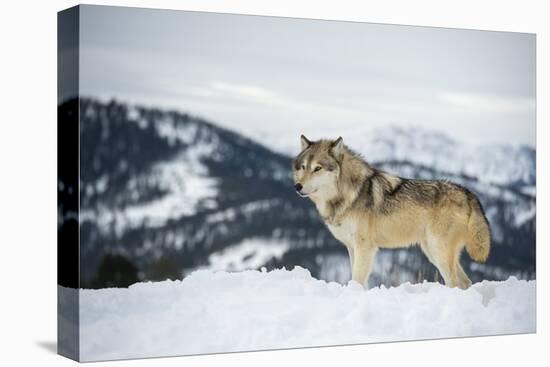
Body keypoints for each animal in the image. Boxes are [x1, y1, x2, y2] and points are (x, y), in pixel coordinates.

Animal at [294, 136, 492, 290]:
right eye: (303, 167)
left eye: (317, 168)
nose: (297, 186)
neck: (348, 193)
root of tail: (467, 192)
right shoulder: (351, 247)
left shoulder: (365, 247)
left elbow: (357, 279)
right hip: (432, 251)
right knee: (465, 282)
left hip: (439, 252)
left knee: (454, 282)